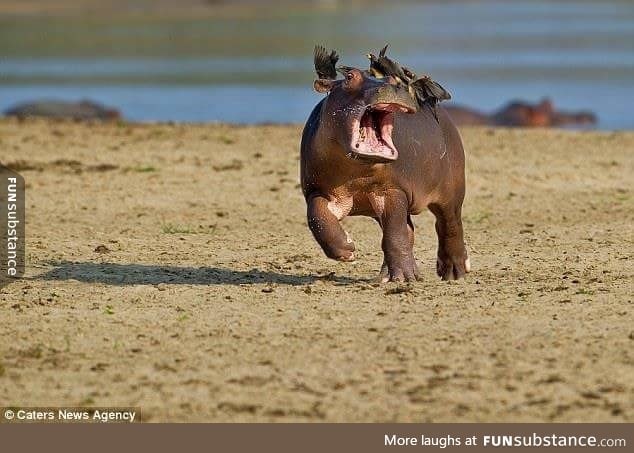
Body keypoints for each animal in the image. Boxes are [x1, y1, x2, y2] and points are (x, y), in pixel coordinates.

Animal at [302, 46, 470, 278]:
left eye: (392, 79)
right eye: (349, 76)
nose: (390, 86)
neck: (357, 172)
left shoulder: (393, 190)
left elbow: (395, 233)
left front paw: (403, 278)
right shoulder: (317, 189)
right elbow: (317, 217)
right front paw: (347, 250)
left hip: (452, 190)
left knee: (449, 225)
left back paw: (454, 272)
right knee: (409, 231)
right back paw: (386, 275)